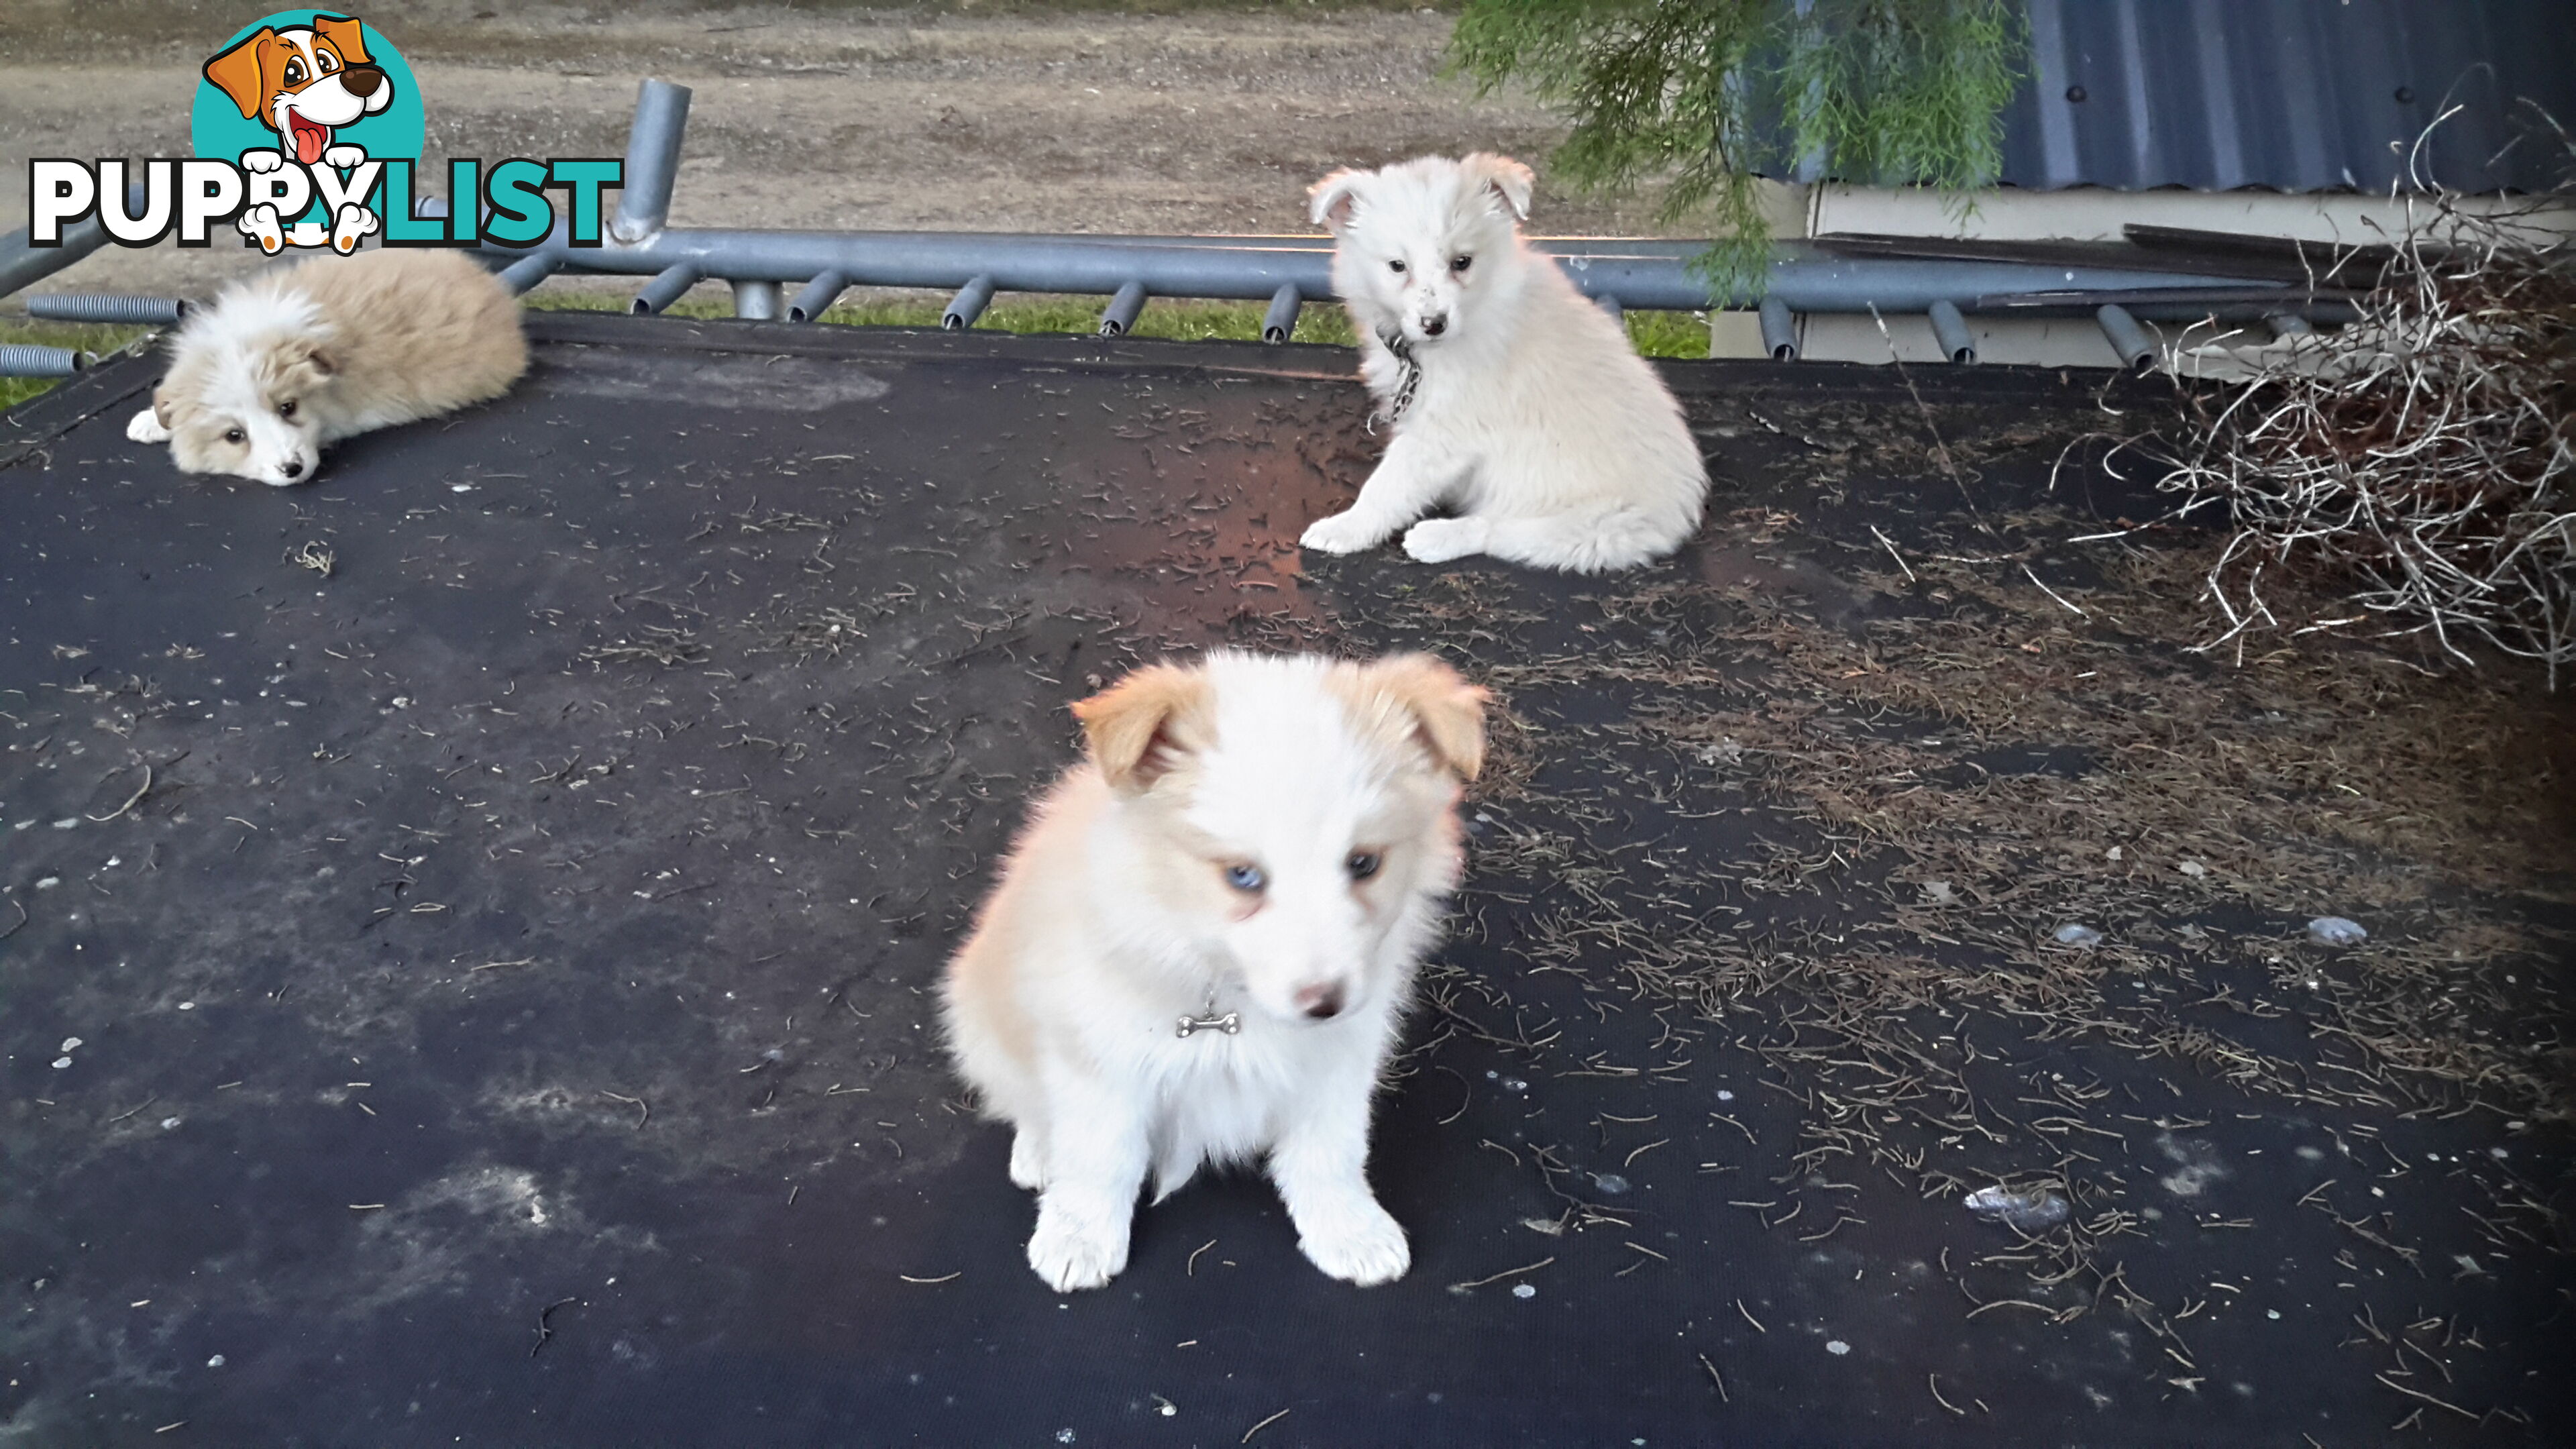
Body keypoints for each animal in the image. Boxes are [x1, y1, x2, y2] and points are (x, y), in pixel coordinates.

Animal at [943, 644, 1494, 1284]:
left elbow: (1330, 1149)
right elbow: (1100, 1156)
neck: (1223, 987)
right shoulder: (1100, 1058)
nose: (1325, 1005)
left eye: (1364, 863)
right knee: (1024, 1101)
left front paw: (1350, 1231)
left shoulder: (1340, 1056)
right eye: (1243, 876)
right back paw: (1038, 1152)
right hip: (983, 1024)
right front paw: (1079, 1238)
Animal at [1308, 150, 1710, 570]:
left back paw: (1436, 537)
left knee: (1501, 530)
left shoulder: (1444, 431)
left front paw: (1345, 529)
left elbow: (1388, 485)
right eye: (1397, 266)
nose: (1435, 324)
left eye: (1462, 262)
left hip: (1592, 526)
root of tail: (1677, 510)